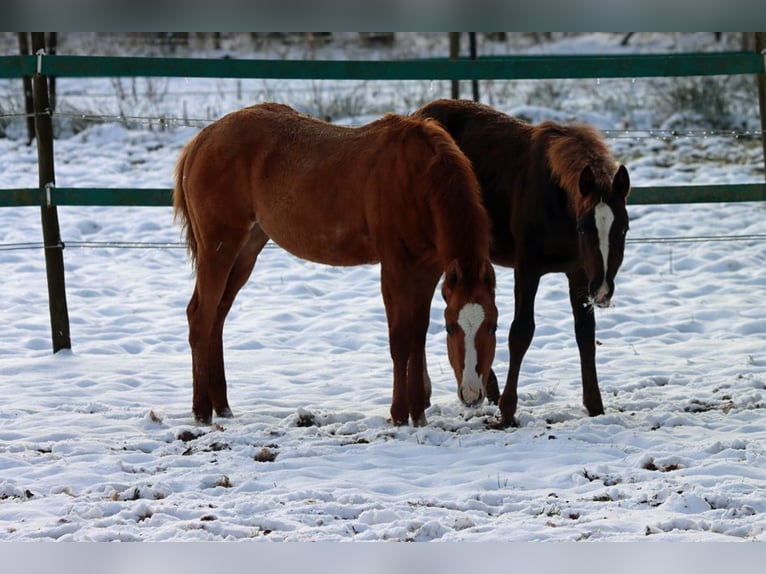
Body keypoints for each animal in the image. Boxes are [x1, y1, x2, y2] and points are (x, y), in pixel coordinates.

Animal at [172, 103, 498, 428]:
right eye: (452, 328)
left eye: (493, 326)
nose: (472, 395)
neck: (417, 178)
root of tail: (201, 139)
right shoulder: (395, 267)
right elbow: (400, 339)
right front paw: (398, 414)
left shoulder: (428, 271)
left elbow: (418, 336)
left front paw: (417, 414)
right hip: (219, 248)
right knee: (201, 317)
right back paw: (201, 411)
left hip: (247, 250)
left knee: (217, 317)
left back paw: (222, 406)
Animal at [416, 99, 632, 428]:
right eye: (584, 228)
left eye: (623, 228)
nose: (603, 290)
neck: (556, 200)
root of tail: (419, 114)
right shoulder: (527, 269)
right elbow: (520, 332)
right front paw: (507, 411)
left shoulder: (579, 273)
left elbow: (585, 334)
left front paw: (595, 406)